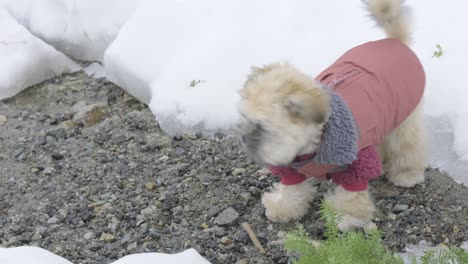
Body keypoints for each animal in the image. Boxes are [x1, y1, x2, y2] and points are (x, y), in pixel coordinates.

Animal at [236, 0, 426, 231]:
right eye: (244, 118)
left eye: (262, 128)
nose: (242, 139)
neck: (312, 146)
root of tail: (395, 41)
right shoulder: (292, 169)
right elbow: (292, 191)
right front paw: (284, 208)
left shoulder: (355, 168)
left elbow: (351, 200)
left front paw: (346, 218)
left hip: (404, 118)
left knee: (409, 146)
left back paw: (407, 173)